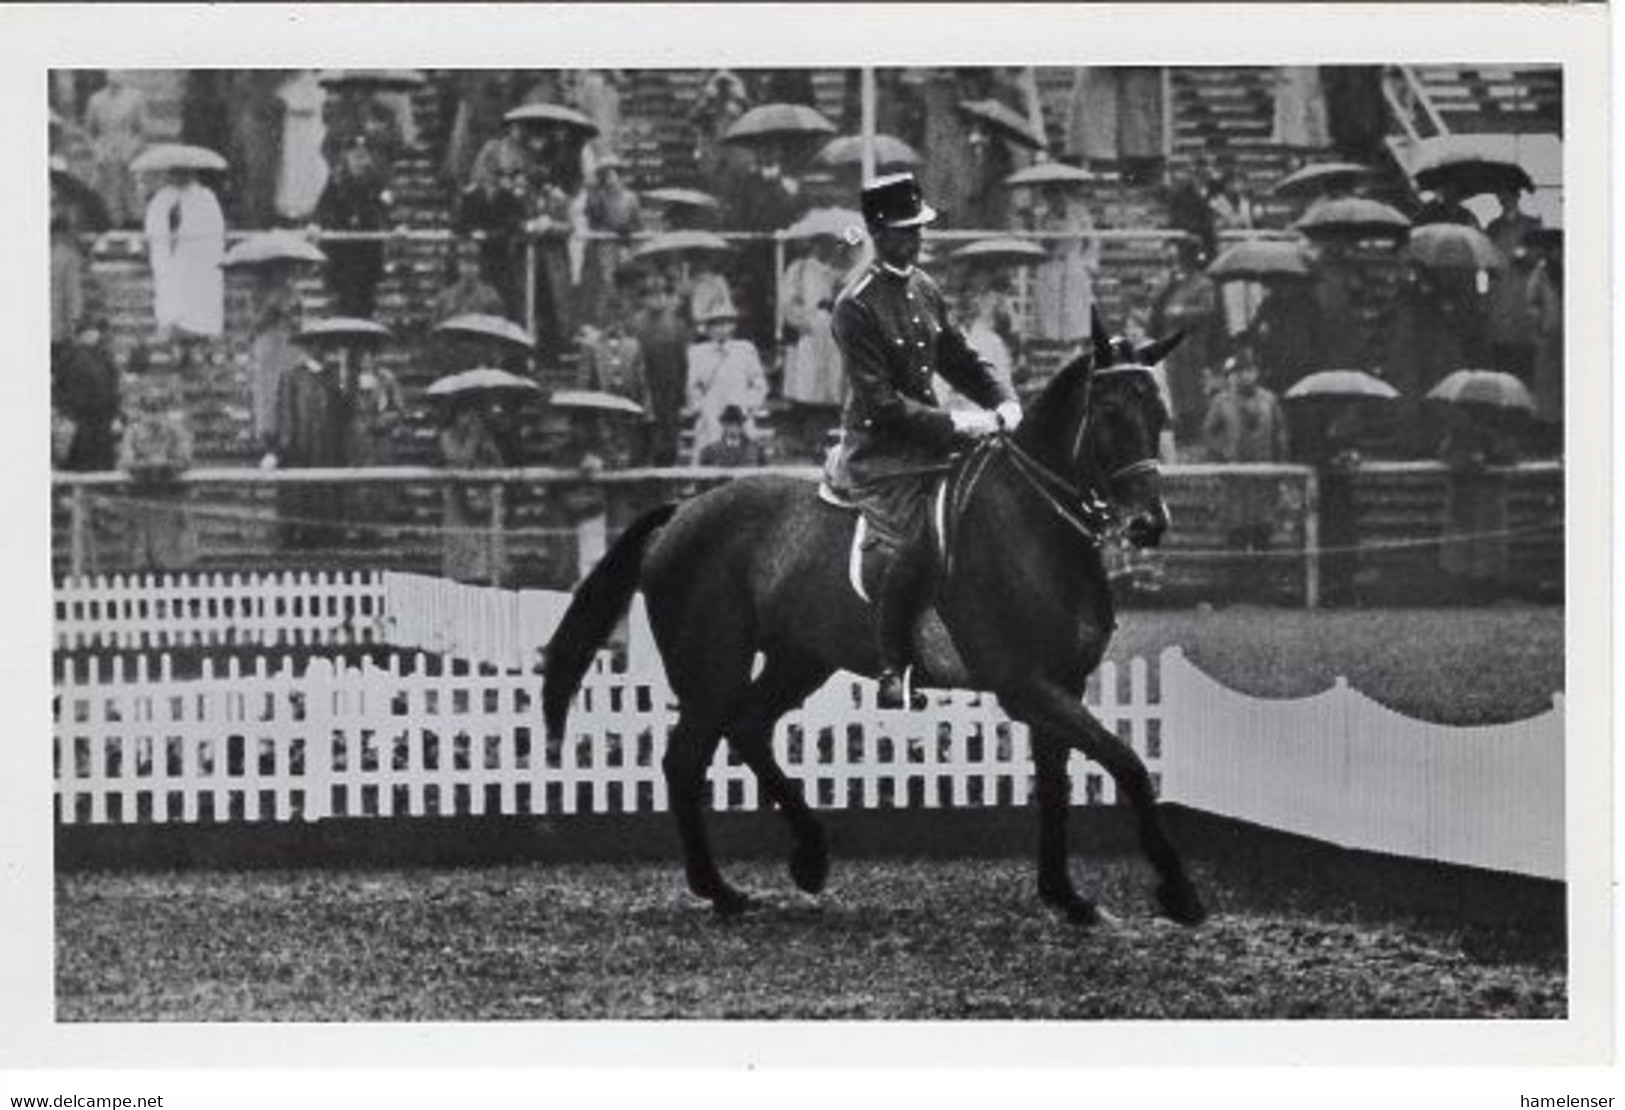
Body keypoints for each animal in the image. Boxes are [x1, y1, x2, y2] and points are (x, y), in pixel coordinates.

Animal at [546, 323, 1209, 929]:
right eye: (1108, 413)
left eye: (1159, 414)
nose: (1149, 523)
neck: (1035, 523)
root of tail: (682, 511)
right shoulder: (1027, 686)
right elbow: (1128, 765)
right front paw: (1179, 893)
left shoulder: (1060, 684)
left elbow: (1056, 787)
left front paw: (1066, 897)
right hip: (712, 669)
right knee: (687, 758)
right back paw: (722, 891)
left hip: (799, 659)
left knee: (749, 729)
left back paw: (809, 858)